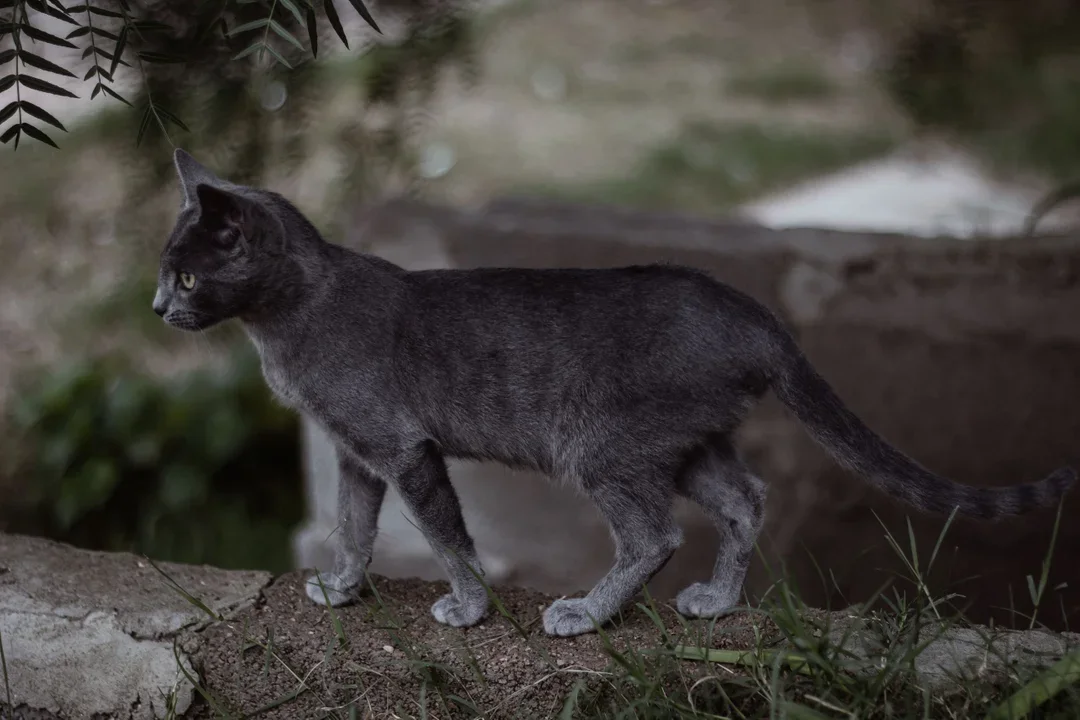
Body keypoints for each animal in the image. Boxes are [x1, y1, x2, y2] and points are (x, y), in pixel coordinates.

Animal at [156, 151, 1075, 634]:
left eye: (189, 275)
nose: (160, 309)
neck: (285, 321)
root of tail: (753, 314)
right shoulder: (356, 454)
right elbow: (351, 528)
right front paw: (343, 587)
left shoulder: (402, 448)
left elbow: (447, 535)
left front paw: (469, 607)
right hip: (684, 440)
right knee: (745, 500)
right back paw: (715, 601)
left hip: (602, 447)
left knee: (656, 534)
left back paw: (587, 611)